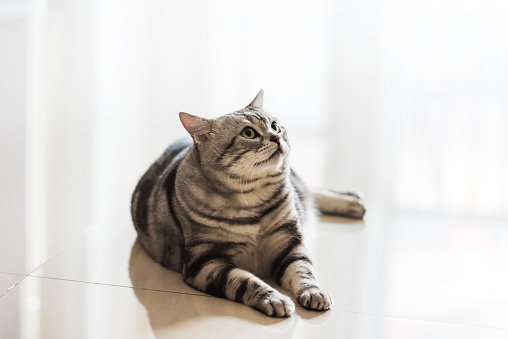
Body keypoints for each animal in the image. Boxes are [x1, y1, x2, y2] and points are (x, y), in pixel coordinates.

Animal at [131, 90, 366, 318]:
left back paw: (353, 201)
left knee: (309, 191)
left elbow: (303, 270)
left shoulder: (289, 244)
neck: (253, 200)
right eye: (248, 133)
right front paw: (274, 298)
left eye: (275, 126)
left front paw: (314, 292)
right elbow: (244, 280)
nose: (276, 137)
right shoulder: (204, 262)